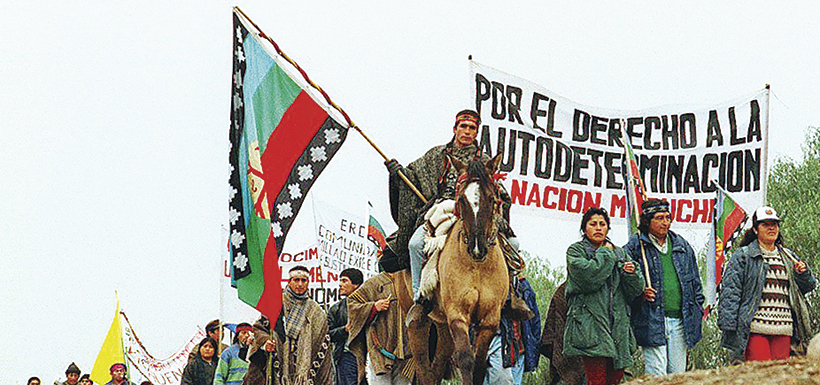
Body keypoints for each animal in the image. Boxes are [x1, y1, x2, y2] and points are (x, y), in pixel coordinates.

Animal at [406, 154, 510, 384]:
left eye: (492, 198)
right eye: (461, 199)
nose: (477, 247)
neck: (477, 266)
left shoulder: (489, 320)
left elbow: (479, 365)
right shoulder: (457, 314)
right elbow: (465, 359)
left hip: (443, 327)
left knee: (437, 367)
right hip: (423, 324)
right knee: (423, 365)